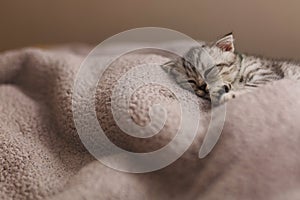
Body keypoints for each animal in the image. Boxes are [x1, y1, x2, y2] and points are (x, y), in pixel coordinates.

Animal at [162, 32, 300, 104]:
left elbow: (250, 86)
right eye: (191, 81)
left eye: (210, 70)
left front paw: (230, 94)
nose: (202, 86)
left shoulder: (267, 75)